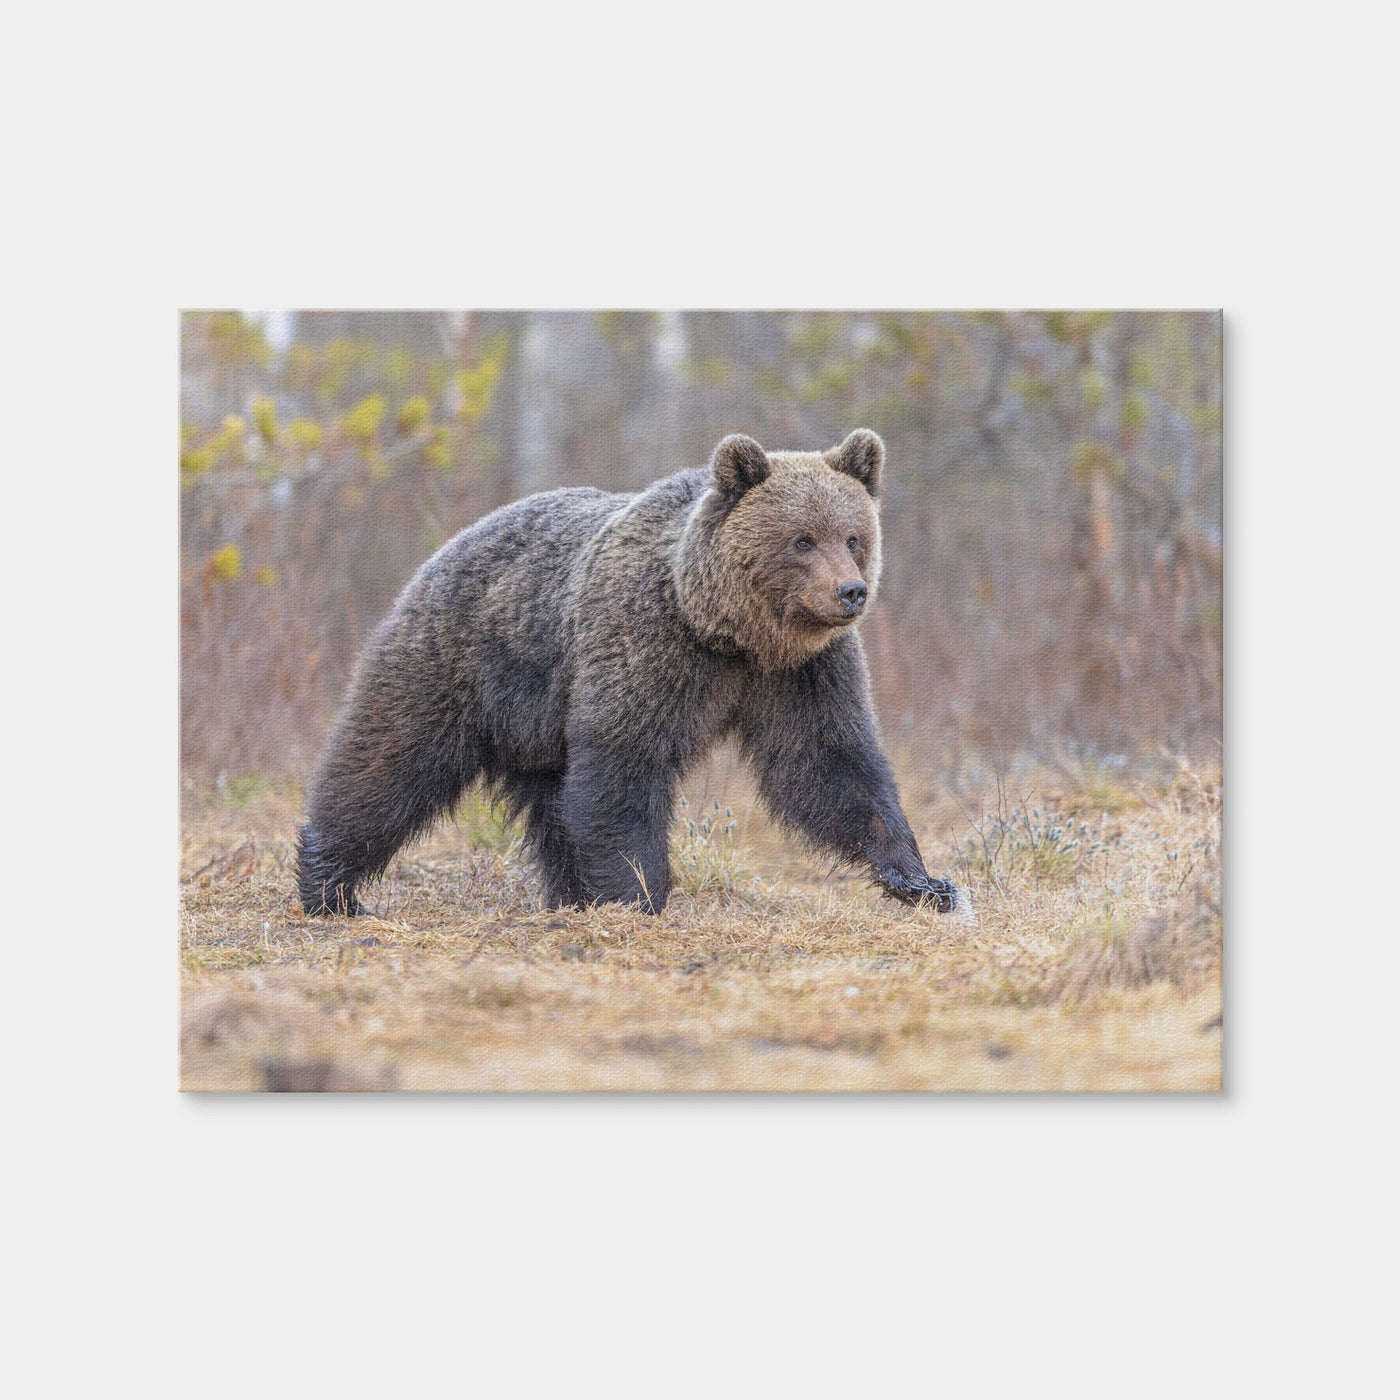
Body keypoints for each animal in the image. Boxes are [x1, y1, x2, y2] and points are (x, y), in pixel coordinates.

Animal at [297, 429, 959, 918]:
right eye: (802, 540)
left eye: (853, 536)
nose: (850, 592)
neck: (729, 631)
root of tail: (447, 546)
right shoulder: (646, 643)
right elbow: (625, 763)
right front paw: (638, 894)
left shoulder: (804, 672)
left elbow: (831, 763)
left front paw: (922, 880)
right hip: (459, 661)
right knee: (389, 761)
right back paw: (331, 886)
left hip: (539, 727)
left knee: (554, 804)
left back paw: (568, 897)